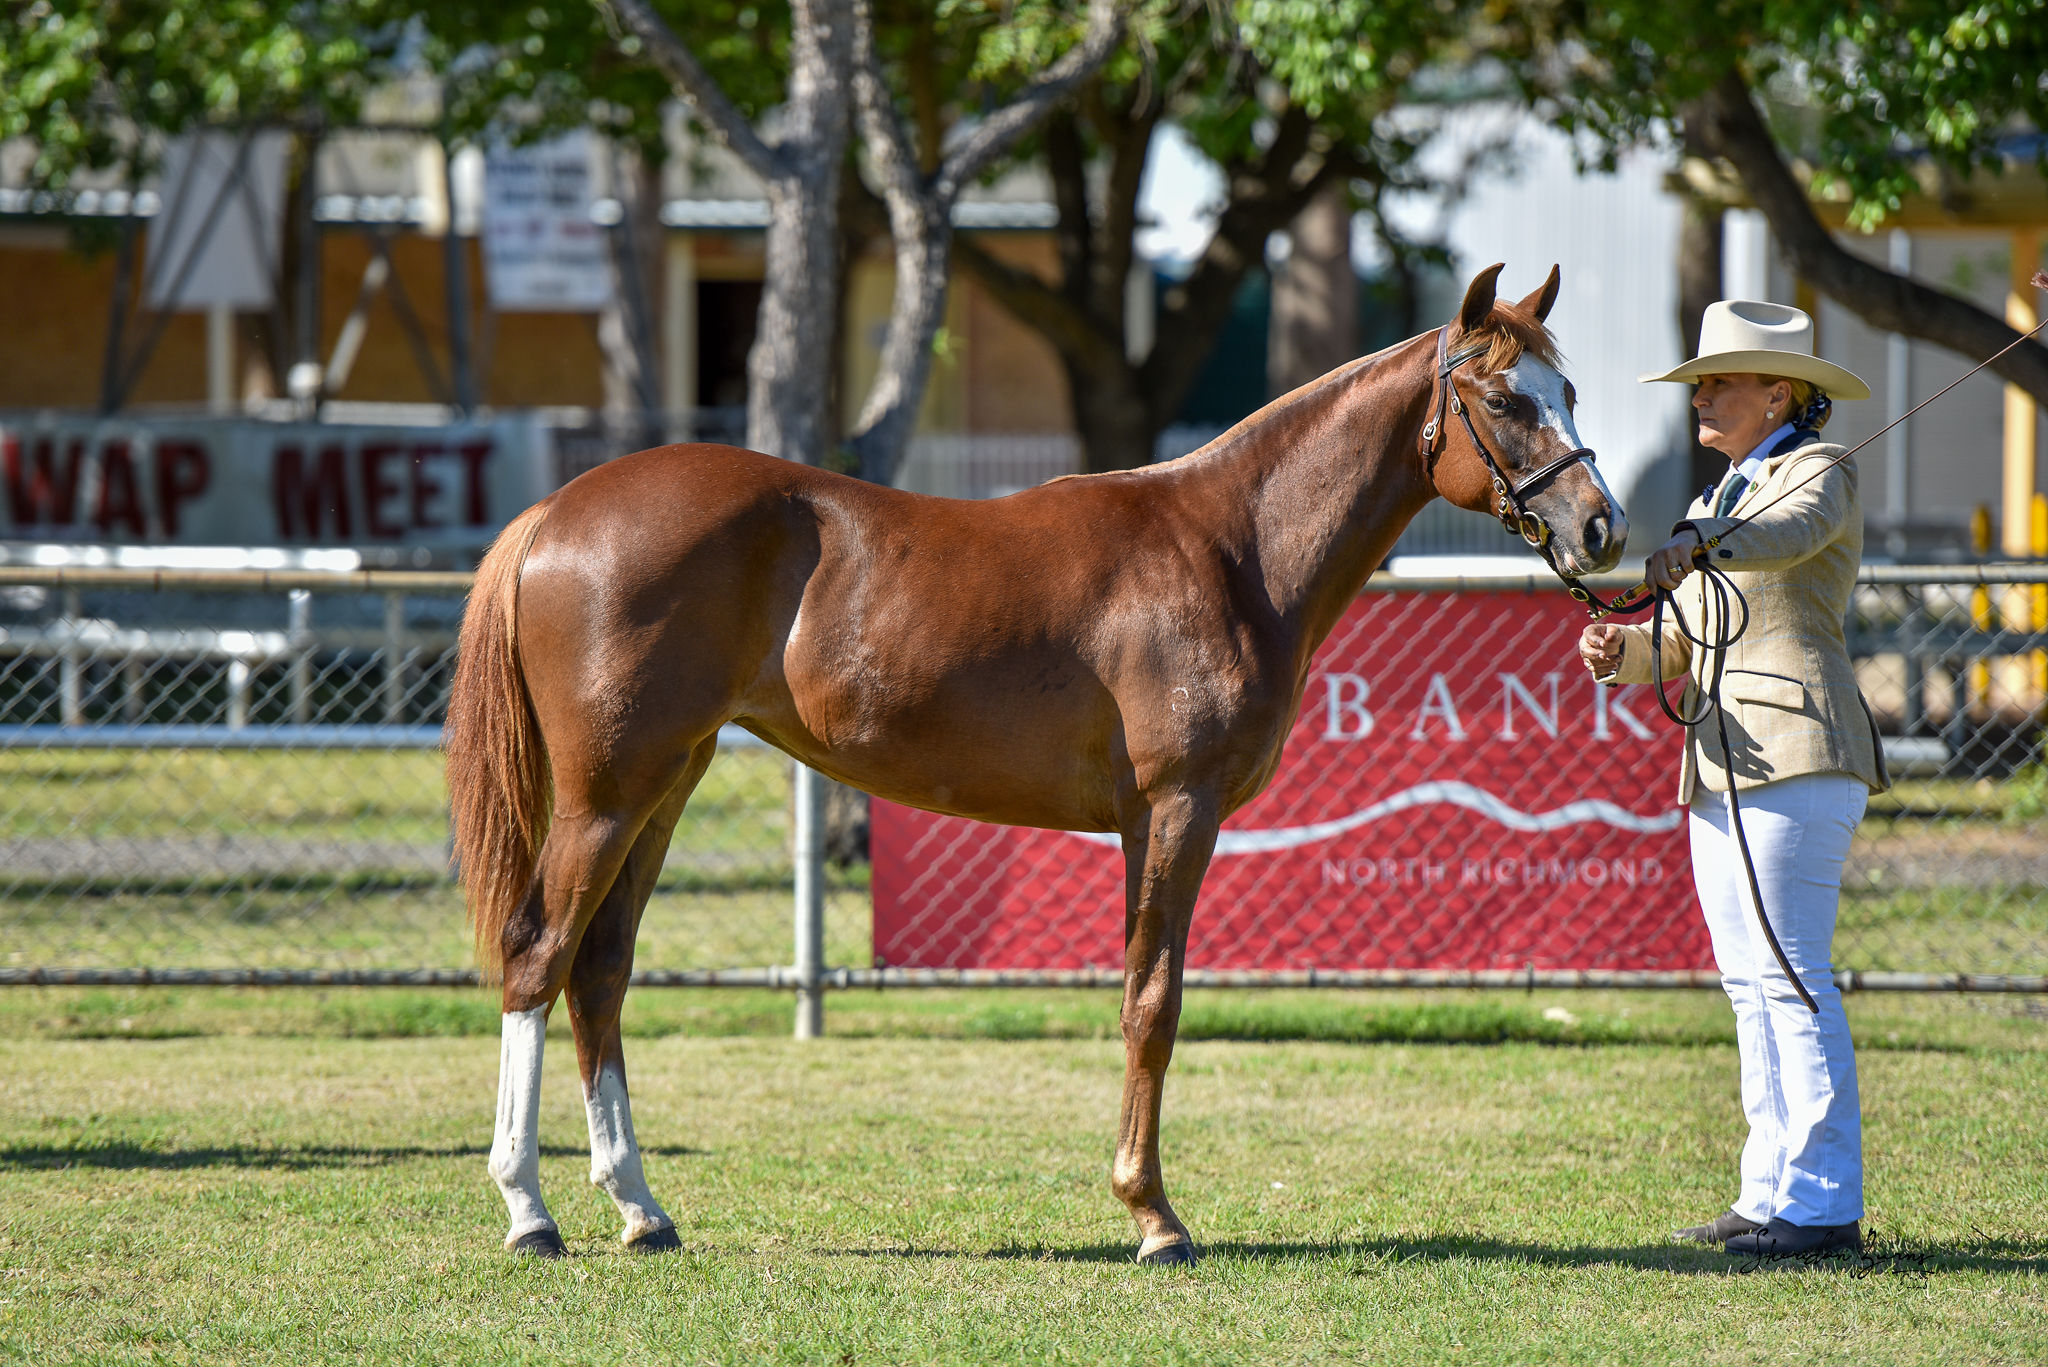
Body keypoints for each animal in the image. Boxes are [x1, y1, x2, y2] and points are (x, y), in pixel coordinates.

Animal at [445, 263, 1628, 1263]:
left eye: (1570, 388)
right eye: (1506, 399)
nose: (1600, 528)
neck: (1232, 547)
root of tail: (558, 511)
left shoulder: (1147, 821)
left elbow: (1144, 995)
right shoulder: (1177, 809)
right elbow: (1153, 1003)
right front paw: (1153, 1217)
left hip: (666, 783)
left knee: (600, 970)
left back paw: (640, 1208)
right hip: (604, 796)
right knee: (538, 956)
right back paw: (529, 1210)